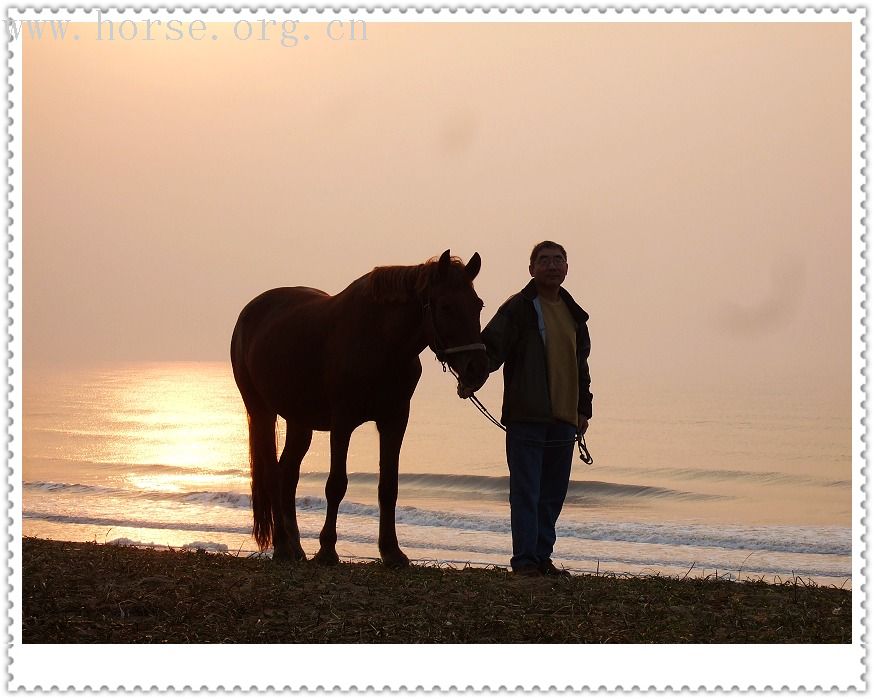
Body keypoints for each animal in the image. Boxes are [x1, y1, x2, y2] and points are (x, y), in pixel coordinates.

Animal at [232, 252, 488, 568]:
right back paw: (281, 546)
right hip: (261, 411)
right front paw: (327, 549)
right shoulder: (342, 422)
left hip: (300, 421)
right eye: (446, 306)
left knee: (287, 474)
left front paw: (392, 551)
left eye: (478, 305)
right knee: (271, 474)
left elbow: (388, 487)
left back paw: (296, 548)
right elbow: (336, 485)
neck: (379, 341)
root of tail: (249, 313)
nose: (477, 369)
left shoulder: (395, 420)